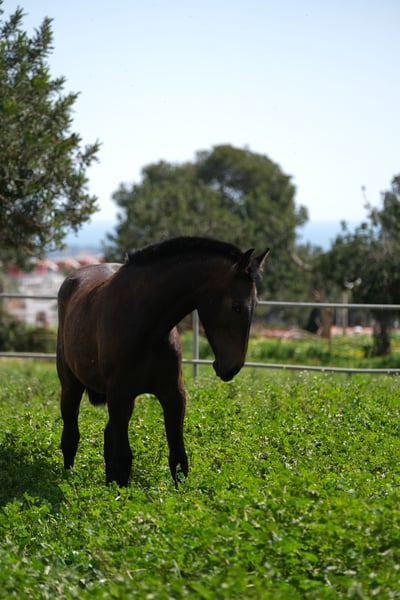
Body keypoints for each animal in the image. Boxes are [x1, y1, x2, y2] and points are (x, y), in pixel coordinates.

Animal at [57, 236, 269, 487]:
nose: (232, 366)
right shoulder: (120, 396)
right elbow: (123, 456)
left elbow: (178, 457)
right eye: (236, 306)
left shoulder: (173, 394)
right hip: (71, 386)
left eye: (255, 305)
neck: (147, 327)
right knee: (71, 435)